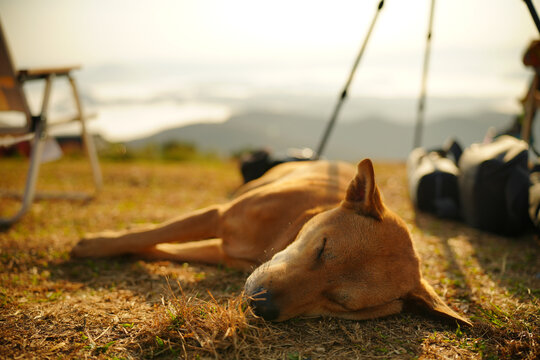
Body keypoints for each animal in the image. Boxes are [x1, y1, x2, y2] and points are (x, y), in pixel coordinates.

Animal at [73, 160, 472, 326]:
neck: (285, 231)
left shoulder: (223, 251)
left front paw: (135, 253)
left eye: (340, 302)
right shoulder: (218, 216)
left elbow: (158, 245)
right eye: (321, 248)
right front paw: (95, 245)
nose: (261, 306)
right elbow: (149, 233)